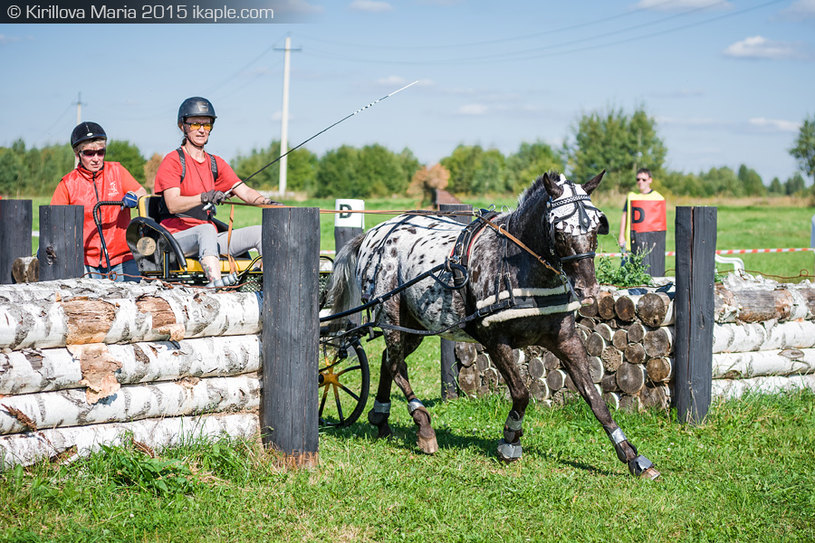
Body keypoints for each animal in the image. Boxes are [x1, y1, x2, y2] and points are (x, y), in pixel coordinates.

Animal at [326, 171, 664, 480]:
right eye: (559, 230)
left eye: (596, 226)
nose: (589, 290)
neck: (520, 269)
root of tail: (374, 232)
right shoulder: (495, 341)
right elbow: (521, 393)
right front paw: (510, 440)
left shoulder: (565, 339)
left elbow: (595, 398)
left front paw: (633, 457)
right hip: (392, 316)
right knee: (397, 365)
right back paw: (423, 427)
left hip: (417, 325)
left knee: (389, 360)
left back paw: (381, 417)